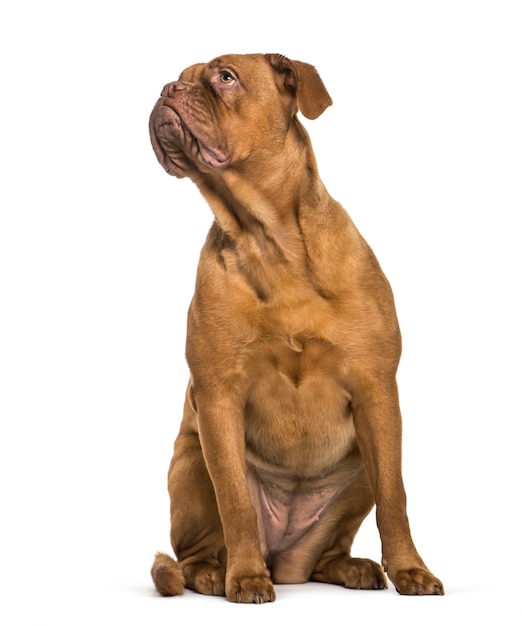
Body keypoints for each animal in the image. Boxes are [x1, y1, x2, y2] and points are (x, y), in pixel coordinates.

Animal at [147, 52, 442, 600]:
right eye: (180, 76)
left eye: (225, 77)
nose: (166, 89)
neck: (269, 241)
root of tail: (285, 561)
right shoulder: (217, 399)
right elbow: (236, 503)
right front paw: (244, 578)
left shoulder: (377, 394)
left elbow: (396, 498)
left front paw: (411, 570)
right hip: (191, 462)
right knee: (193, 553)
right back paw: (217, 573)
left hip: (359, 471)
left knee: (331, 549)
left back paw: (351, 567)